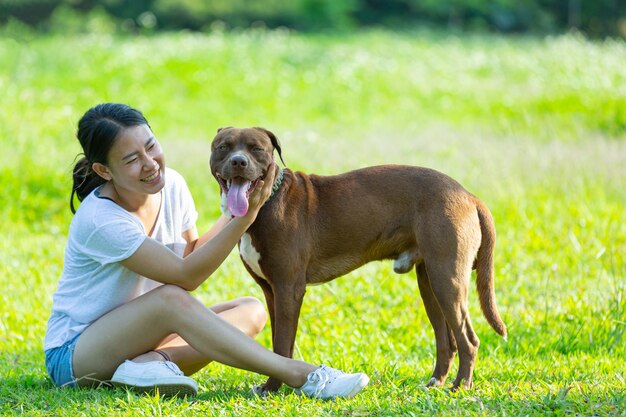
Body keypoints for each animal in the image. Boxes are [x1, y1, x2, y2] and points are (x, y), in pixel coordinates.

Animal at [208, 127, 502, 394]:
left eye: (256, 148)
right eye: (223, 147)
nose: (238, 162)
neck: (267, 201)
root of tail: (467, 194)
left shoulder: (288, 289)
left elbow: (281, 344)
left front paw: (273, 387)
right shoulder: (271, 291)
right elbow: (281, 342)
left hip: (447, 280)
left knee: (468, 340)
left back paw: (461, 386)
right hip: (430, 283)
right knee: (446, 341)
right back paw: (436, 382)